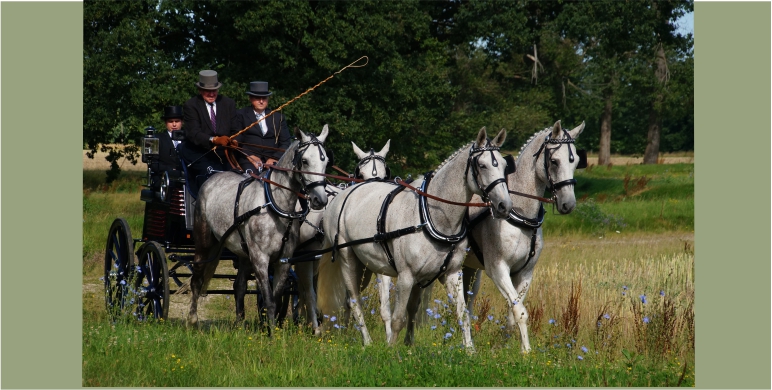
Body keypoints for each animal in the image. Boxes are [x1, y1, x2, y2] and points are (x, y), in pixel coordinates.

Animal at [189, 125, 332, 330]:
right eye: (304, 161)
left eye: (325, 161)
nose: (320, 200)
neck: (275, 206)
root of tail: (212, 177)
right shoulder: (260, 259)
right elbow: (269, 300)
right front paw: (270, 332)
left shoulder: (283, 260)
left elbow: (276, 297)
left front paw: (272, 329)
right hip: (204, 242)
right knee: (197, 279)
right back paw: (192, 319)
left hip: (242, 252)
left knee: (239, 286)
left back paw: (239, 324)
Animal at [318, 129, 512, 350]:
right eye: (482, 165)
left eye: (504, 165)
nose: (504, 205)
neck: (432, 217)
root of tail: (339, 197)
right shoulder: (406, 276)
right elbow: (398, 318)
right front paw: (391, 349)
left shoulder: (449, 274)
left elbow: (460, 314)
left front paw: (469, 350)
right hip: (348, 259)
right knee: (354, 300)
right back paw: (366, 341)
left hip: (366, 267)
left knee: (348, 300)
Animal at [458, 120, 584, 352]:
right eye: (554, 161)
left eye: (576, 161)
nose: (568, 204)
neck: (520, 214)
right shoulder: (498, 270)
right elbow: (519, 311)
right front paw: (526, 351)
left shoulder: (525, 273)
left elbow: (513, 313)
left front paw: (507, 347)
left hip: (471, 270)